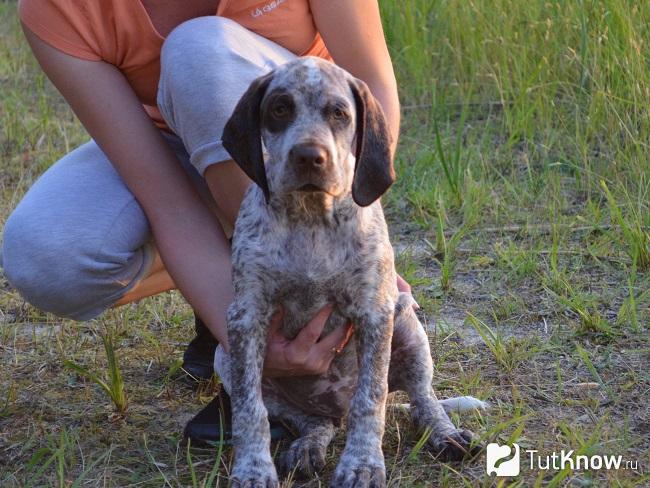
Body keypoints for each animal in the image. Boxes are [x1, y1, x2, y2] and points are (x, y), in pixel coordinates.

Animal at [218, 58, 480, 488]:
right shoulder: (246, 316)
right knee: (317, 421)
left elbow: (370, 401)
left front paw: (362, 465)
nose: (310, 157)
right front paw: (253, 468)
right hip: (225, 358)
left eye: (339, 113)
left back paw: (445, 434)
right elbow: (249, 409)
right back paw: (308, 446)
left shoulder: (375, 312)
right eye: (279, 108)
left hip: (405, 319)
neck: (311, 218)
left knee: (421, 399)